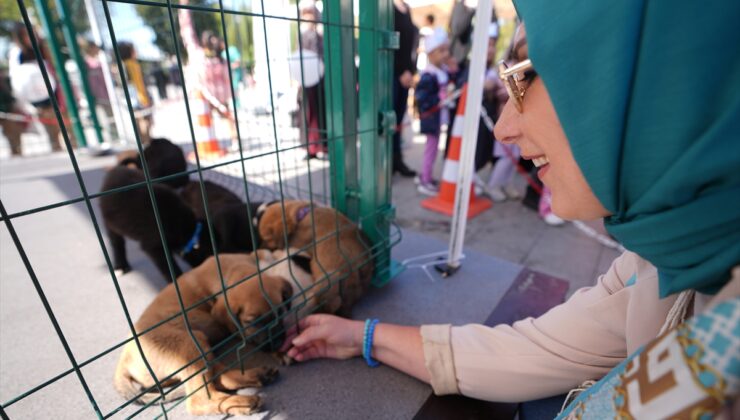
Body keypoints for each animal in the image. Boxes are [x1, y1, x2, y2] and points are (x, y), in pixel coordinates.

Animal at [114, 249, 310, 416]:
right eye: (252, 322)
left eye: (280, 312)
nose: (277, 343)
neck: (231, 270)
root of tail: (123, 360)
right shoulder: (235, 328)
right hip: (189, 342)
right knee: (198, 400)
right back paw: (241, 402)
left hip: (198, 346)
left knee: (216, 377)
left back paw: (257, 376)